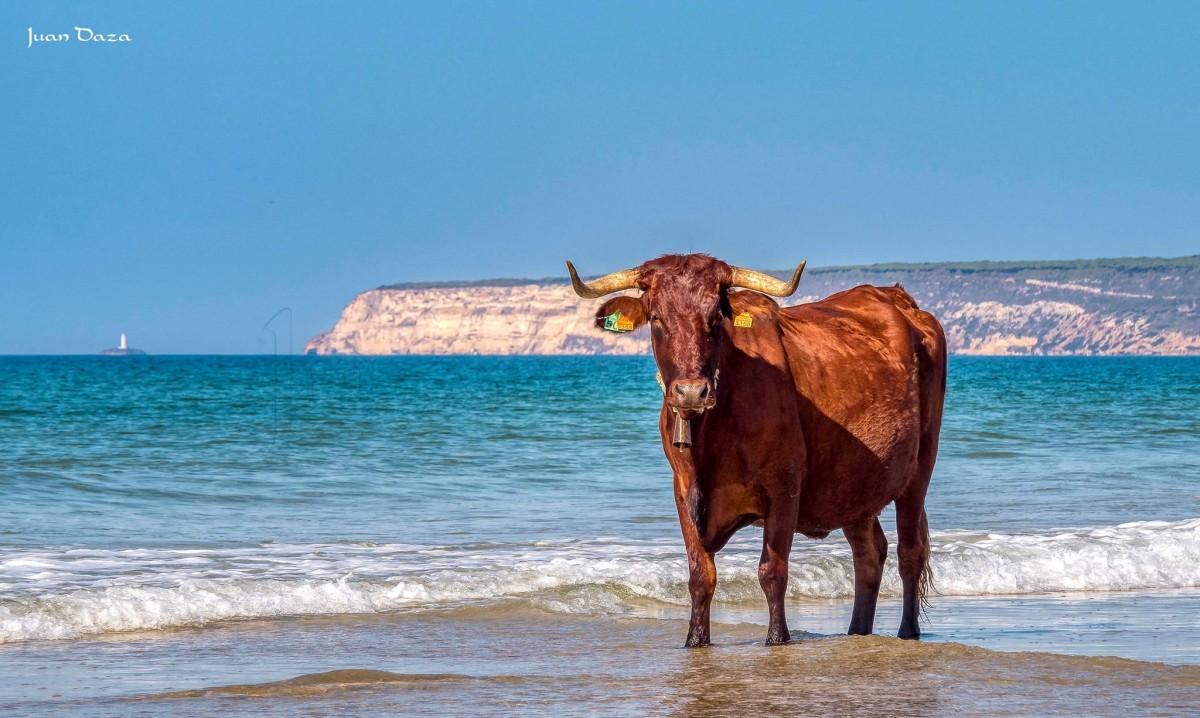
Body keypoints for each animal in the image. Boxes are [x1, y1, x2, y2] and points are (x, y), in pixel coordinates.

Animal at [566, 254, 946, 647]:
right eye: (657, 317)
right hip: (854, 484)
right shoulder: (683, 490)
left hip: (920, 469)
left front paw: (777, 640)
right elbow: (700, 575)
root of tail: (900, 300)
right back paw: (857, 632)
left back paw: (907, 632)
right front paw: (695, 642)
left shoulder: (784, 486)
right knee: (869, 553)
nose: (691, 392)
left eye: (715, 317)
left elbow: (772, 572)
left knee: (909, 550)